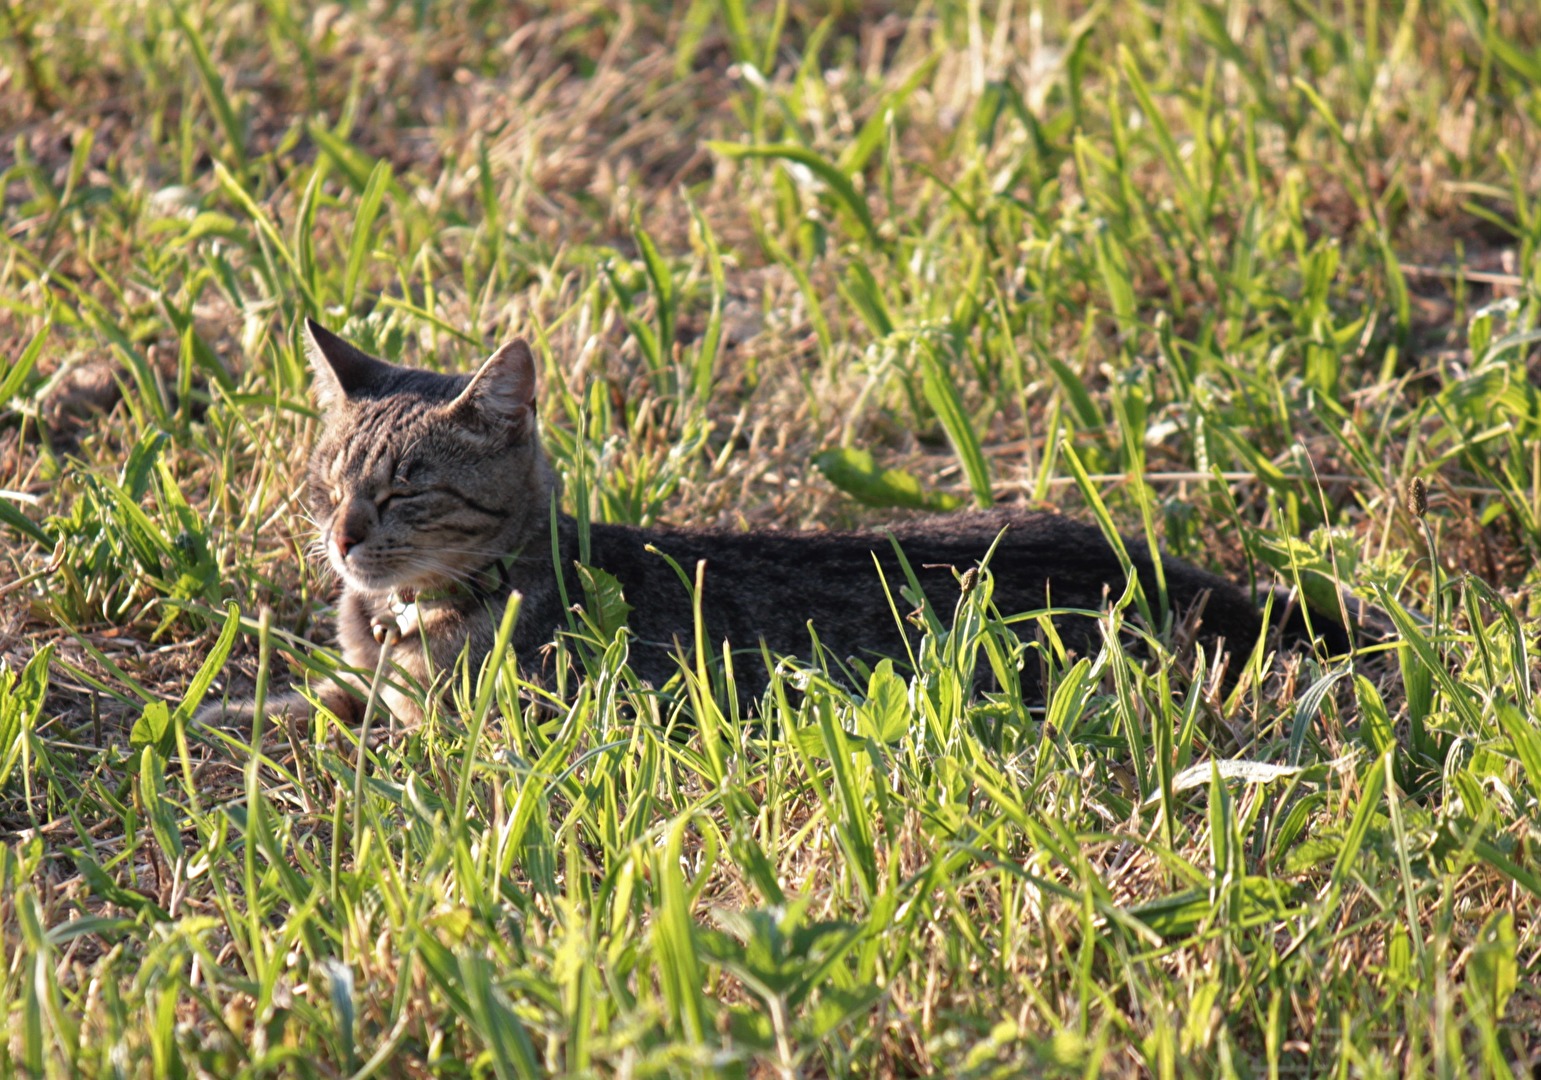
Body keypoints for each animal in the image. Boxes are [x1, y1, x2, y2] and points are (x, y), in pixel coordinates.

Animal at [208, 315, 1337, 724]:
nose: (343, 537)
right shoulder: (365, 682)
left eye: (408, 493)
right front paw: (203, 711)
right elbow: (296, 699)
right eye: (325, 483)